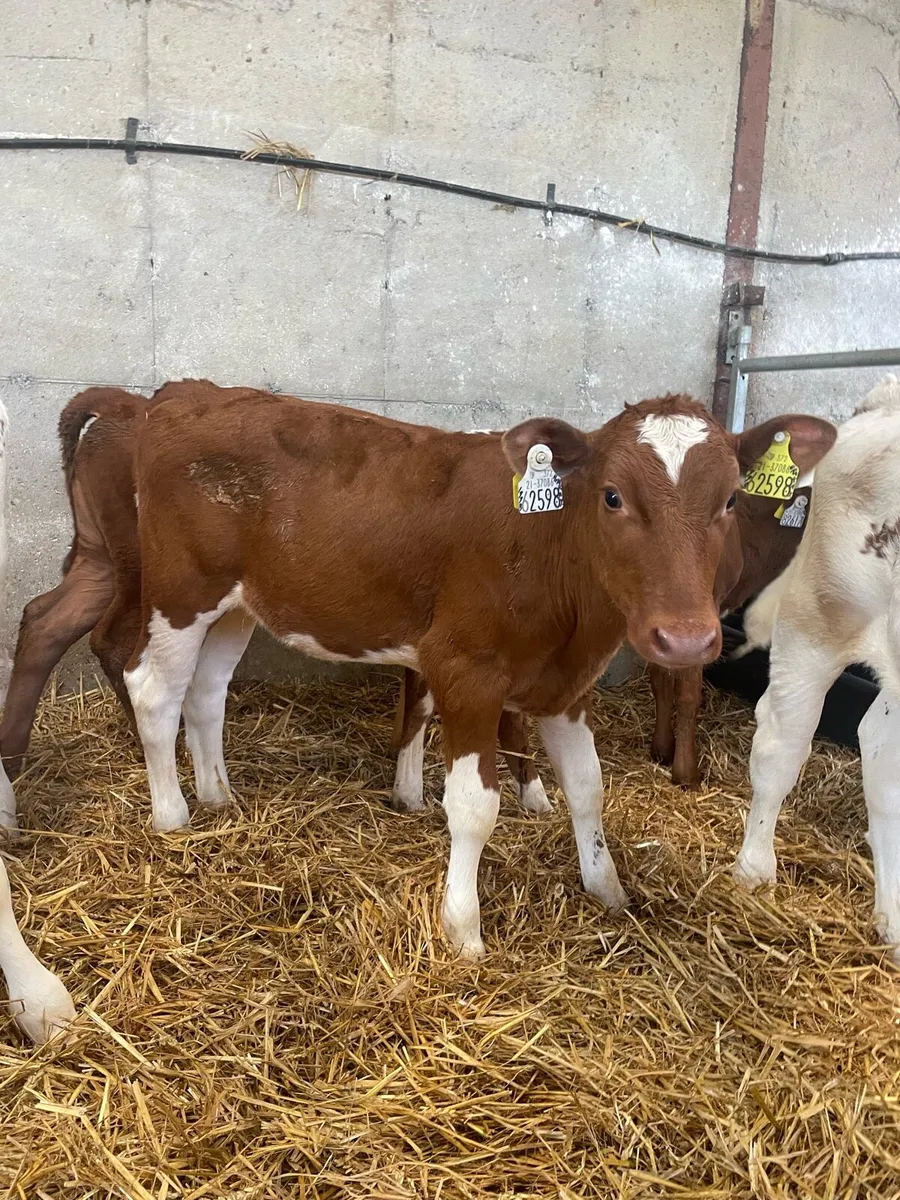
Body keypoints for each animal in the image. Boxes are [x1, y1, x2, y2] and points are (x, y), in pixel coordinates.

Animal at [117, 380, 834, 956]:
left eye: (731, 500)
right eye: (612, 496)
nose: (686, 638)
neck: (551, 551)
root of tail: (180, 393)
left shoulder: (566, 686)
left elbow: (588, 786)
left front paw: (606, 887)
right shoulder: (464, 671)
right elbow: (472, 806)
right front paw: (462, 927)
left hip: (237, 604)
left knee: (206, 692)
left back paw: (218, 796)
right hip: (181, 591)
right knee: (152, 690)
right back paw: (173, 815)